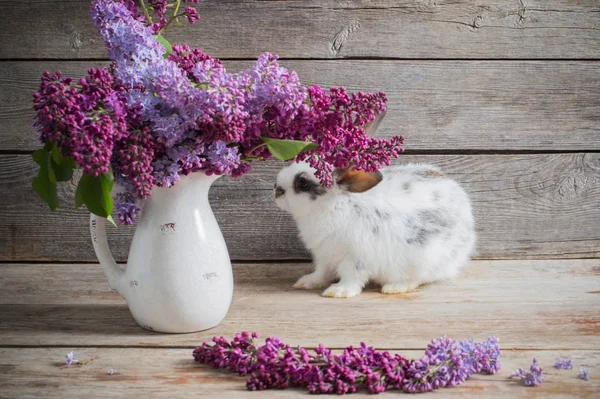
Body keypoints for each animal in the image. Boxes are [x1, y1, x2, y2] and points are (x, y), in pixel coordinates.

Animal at [274, 121, 476, 296]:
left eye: (303, 183)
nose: (276, 189)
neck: (335, 205)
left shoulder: (356, 258)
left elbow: (351, 277)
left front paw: (339, 292)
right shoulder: (324, 256)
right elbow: (322, 273)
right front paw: (306, 282)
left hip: (426, 260)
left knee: (421, 278)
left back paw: (395, 287)